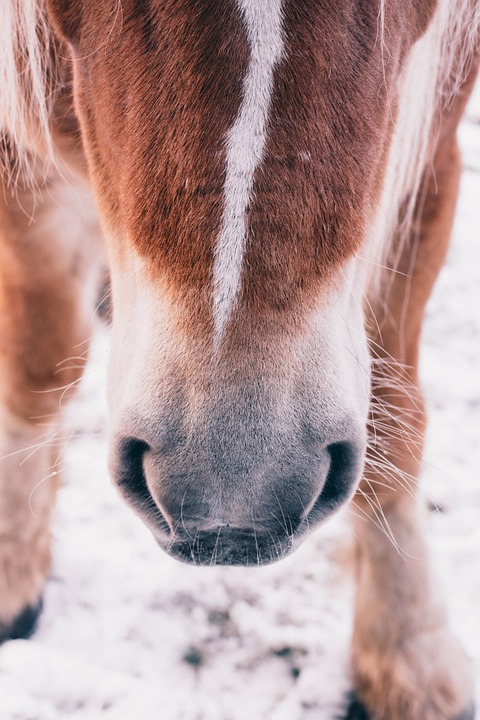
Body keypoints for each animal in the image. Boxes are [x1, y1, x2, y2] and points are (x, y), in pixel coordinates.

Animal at [0, 1, 478, 718]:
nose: (235, 492)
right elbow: (37, 365)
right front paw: (11, 565)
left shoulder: (433, 131)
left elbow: (395, 414)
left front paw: (408, 646)